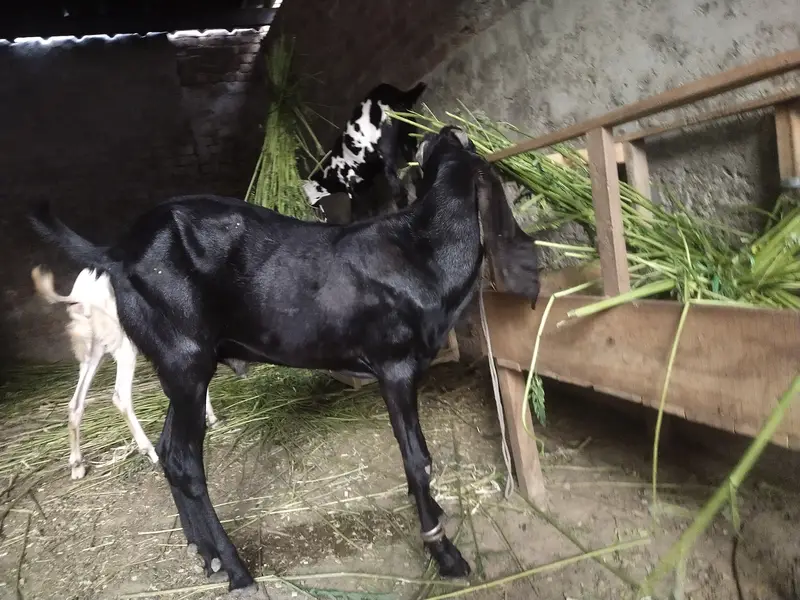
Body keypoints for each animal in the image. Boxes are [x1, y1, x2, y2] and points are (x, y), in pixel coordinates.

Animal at [30, 266, 233, 479]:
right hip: (123, 345)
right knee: (120, 396)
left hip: (93, 351)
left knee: (75, 403)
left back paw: (77, 466)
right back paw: (151, 452)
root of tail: (80, 293)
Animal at [302, 81, 426, 222]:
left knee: (398, 189)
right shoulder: (365, 183)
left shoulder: (354, 187)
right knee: (414, 159)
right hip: (407, 130)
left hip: (387, 153)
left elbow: (359, 209)